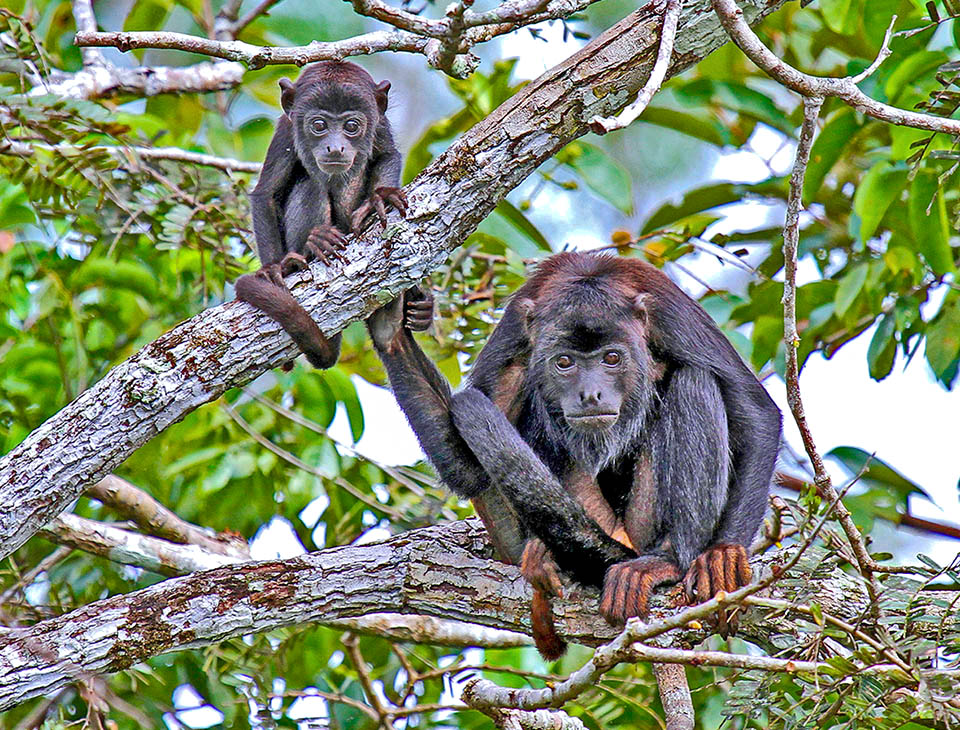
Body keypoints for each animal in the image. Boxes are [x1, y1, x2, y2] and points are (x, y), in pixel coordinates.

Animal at [238, 61, 410, 370]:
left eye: (351, 126)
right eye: (319, 126)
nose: (335, 147)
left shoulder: (379, 124)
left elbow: (387, 156)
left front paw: (379, 197)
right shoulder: (285, 131)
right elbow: (266, 195)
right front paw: (273, 268)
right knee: (310, 183)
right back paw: (314, 244)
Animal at [368, 253, 780, 656]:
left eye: (612, 358)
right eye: (564, 362)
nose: (590, 394)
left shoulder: (671, 315)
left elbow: (757, 414)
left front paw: (723, 555)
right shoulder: (515, 328)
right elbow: (467, 467)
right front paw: (390, 331)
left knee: (695, 380)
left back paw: (668, 560)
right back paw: (541, 553)